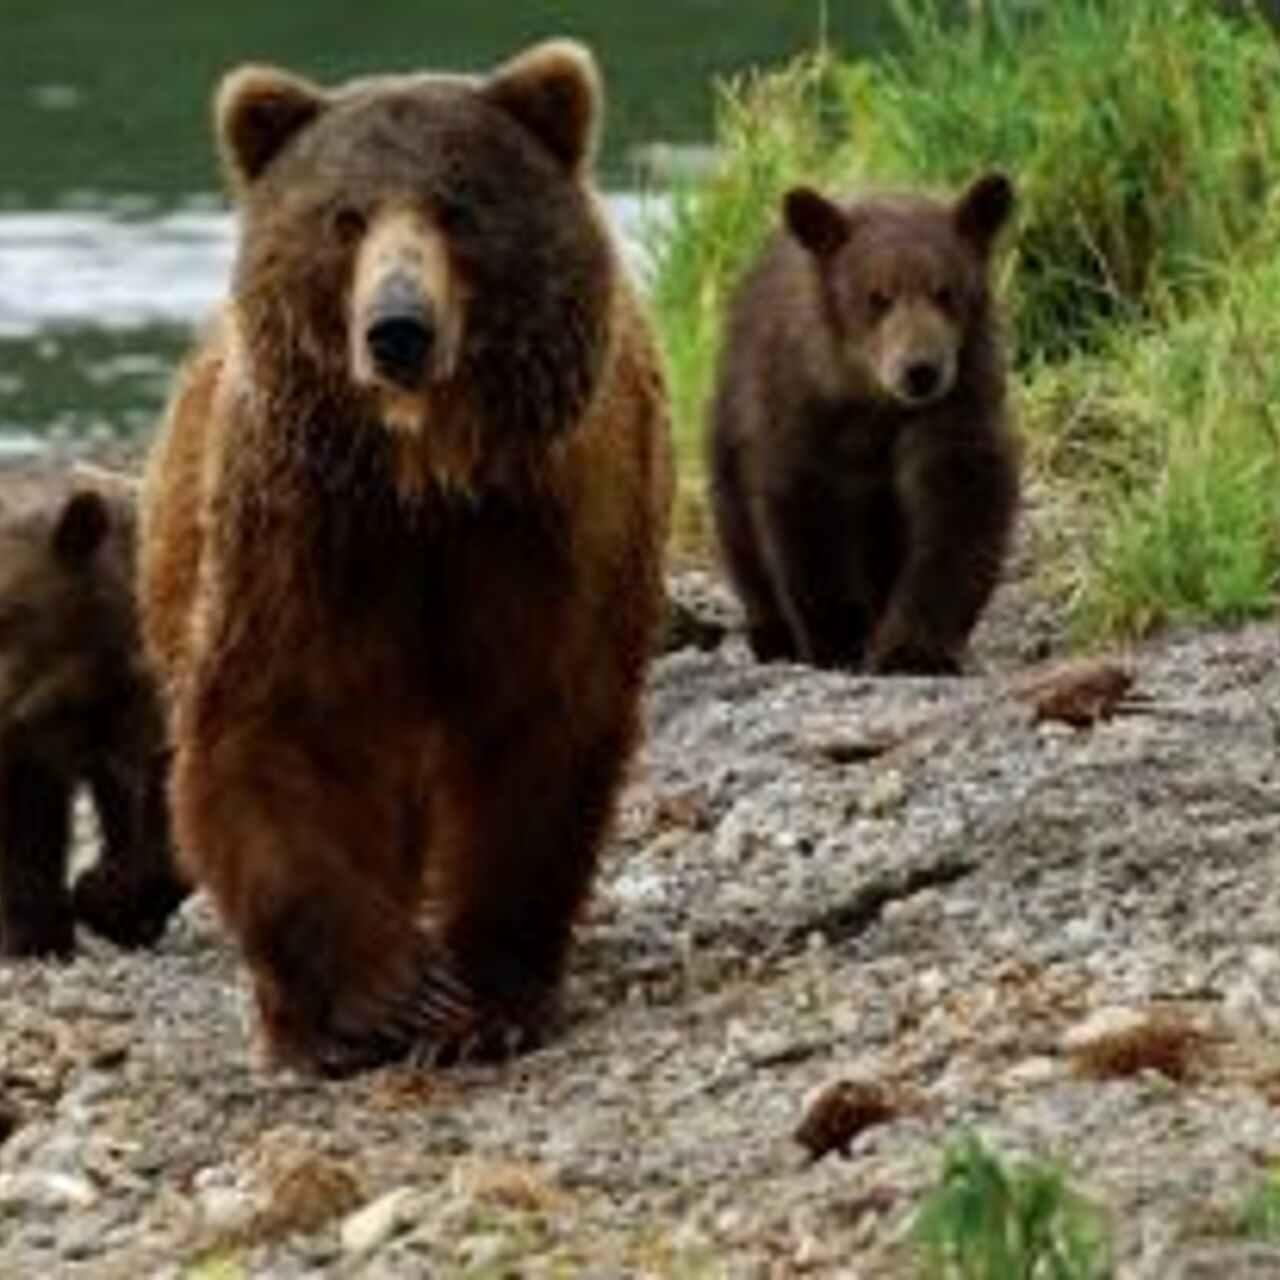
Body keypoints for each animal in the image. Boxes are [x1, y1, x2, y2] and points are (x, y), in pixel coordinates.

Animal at [142, 42, 670, 1080]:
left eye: (459, 205)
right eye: (344, 216)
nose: (397, 328)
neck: (426, 477)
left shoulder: (545, 528)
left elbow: (538, 733)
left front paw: (485, 999)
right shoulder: (307, 532)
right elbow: (276, 727)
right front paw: (390, 992)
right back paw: (298, 1025)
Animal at [711, 174, 1018, 675]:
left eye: (946, 291)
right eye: (877, 296)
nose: (921, 370)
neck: (870, 398)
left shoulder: (957, 402)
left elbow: (958, 508)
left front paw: (914, 649)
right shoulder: (800, 410)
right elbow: (803, 516)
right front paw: (838, 640)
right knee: (737, 526)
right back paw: (772, 633)